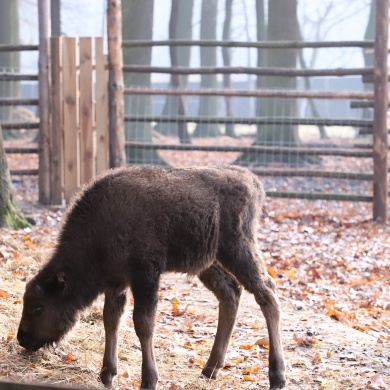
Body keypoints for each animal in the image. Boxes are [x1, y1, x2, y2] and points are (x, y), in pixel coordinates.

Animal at [17, 166, 286, 388]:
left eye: (38, 308)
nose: (21, 338)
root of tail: (251, 180)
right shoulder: (117, 282)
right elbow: (111, 319)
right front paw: (107, 374)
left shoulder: (145, 276)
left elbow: (143, 323)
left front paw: (149, 379)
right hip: (208, 263)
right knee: (230, 294)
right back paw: (210, 369)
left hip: (238, 250)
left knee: (267, 293)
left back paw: (277, 376)